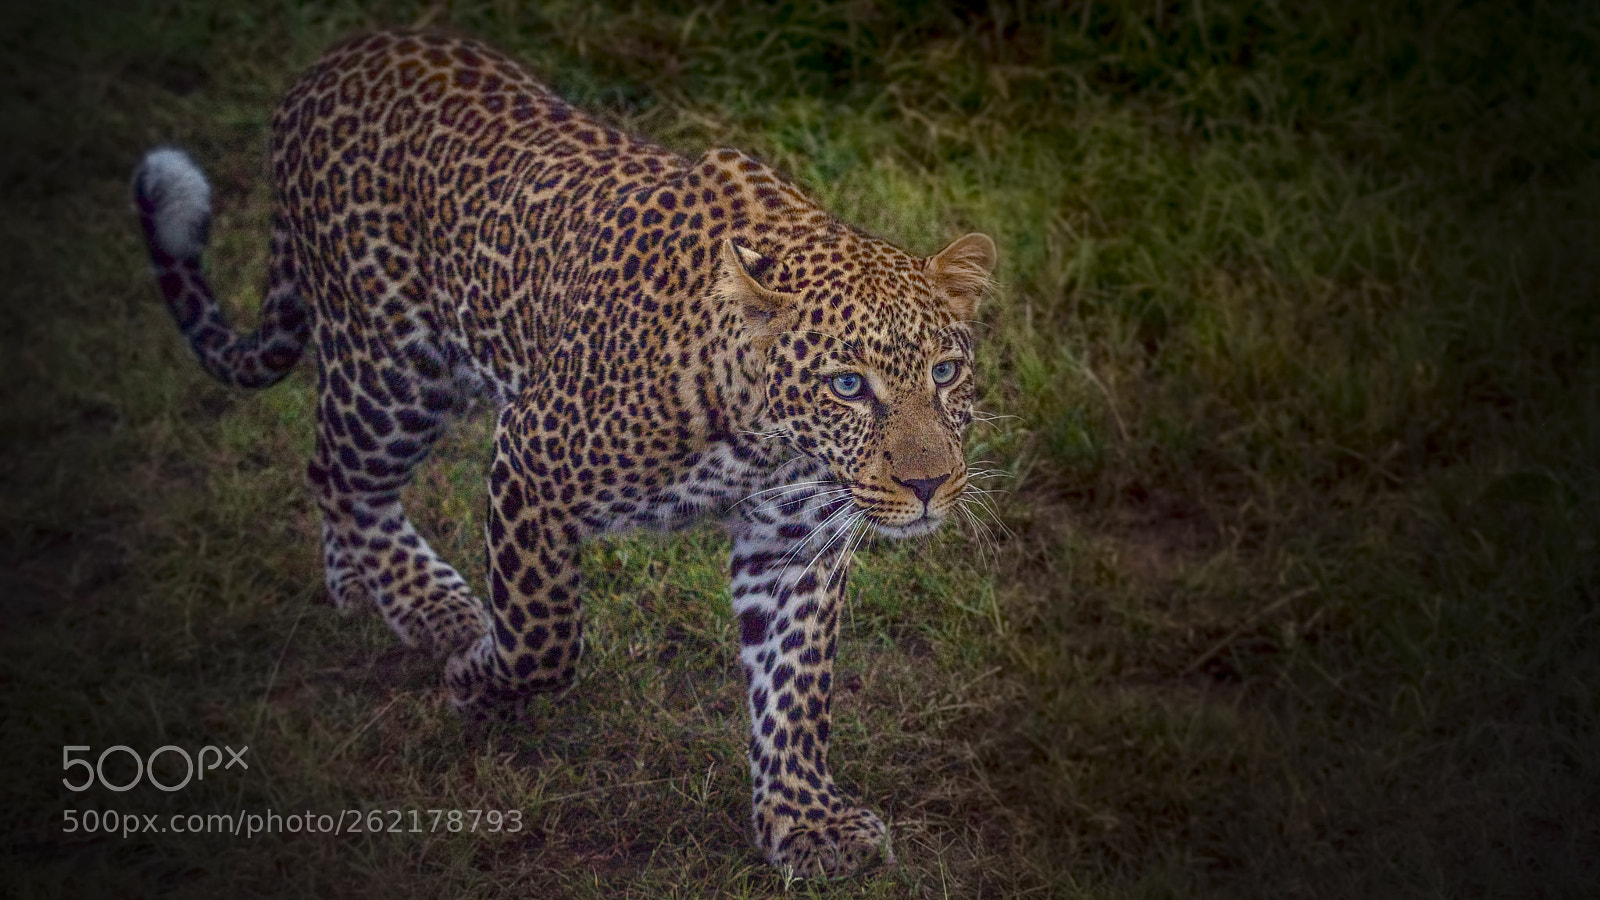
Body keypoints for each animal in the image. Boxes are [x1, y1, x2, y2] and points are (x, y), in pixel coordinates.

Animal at [132, 30, 996, 879]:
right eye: (848, 385)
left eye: (945, 372)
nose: (930, 484)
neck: (766, 437)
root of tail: (325, 64)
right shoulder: (530, 458)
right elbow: (542, 634)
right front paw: (476, 685)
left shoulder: (793, 543)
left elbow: (796, 685)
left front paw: (805, 821)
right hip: (393, 367)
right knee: (337, 472)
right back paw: (428, 604)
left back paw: (359, 585)